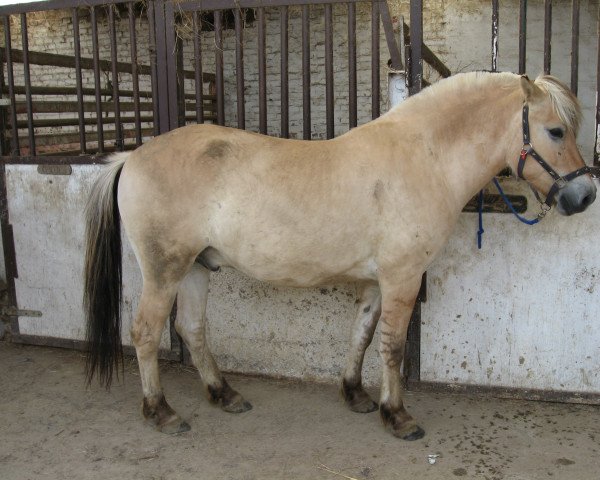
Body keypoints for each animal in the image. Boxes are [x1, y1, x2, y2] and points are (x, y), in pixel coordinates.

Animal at [82, 71, 596, 438]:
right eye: (555, 130)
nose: (586, 195)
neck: (424, 157)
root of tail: (132, 156)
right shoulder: (402, 277)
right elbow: (392, 346)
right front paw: (397, 415)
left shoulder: (376, 281)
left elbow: (362, 336)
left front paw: (356, 395)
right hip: (164, 269)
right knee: (146, 333)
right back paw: (161, 412)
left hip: (195, 267)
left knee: (191, 328)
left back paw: (223, 394)